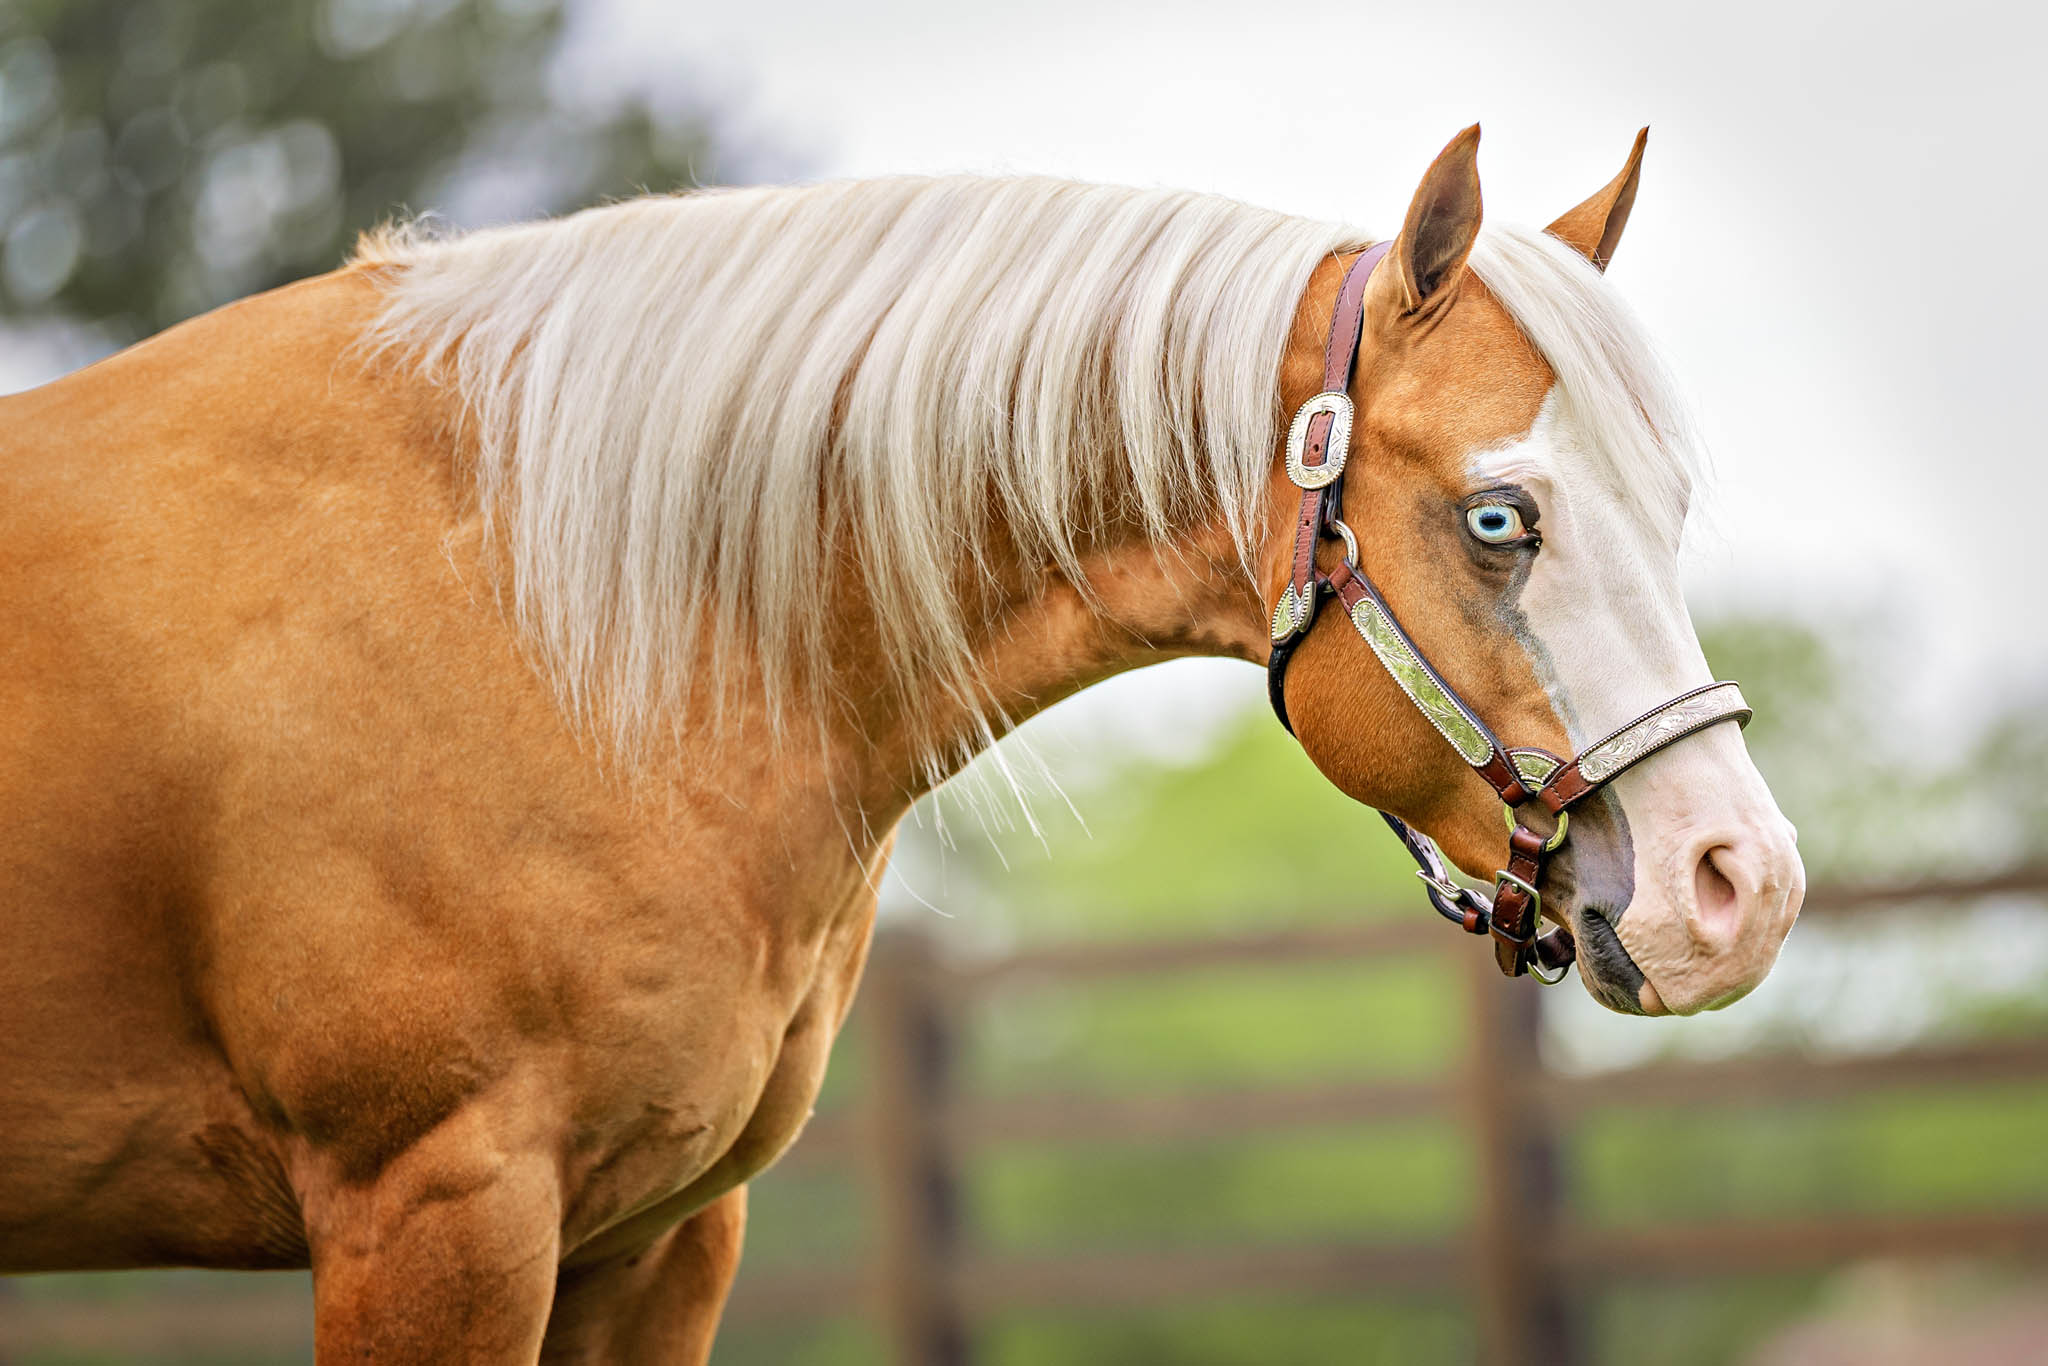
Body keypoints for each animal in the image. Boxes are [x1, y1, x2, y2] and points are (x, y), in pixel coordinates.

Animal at [0, 125, 1803, 1360]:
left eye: (1671, 502)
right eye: (1499, 517)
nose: (1741, 886)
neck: (544, 604)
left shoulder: (655, 1237)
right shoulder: (433, 1213)